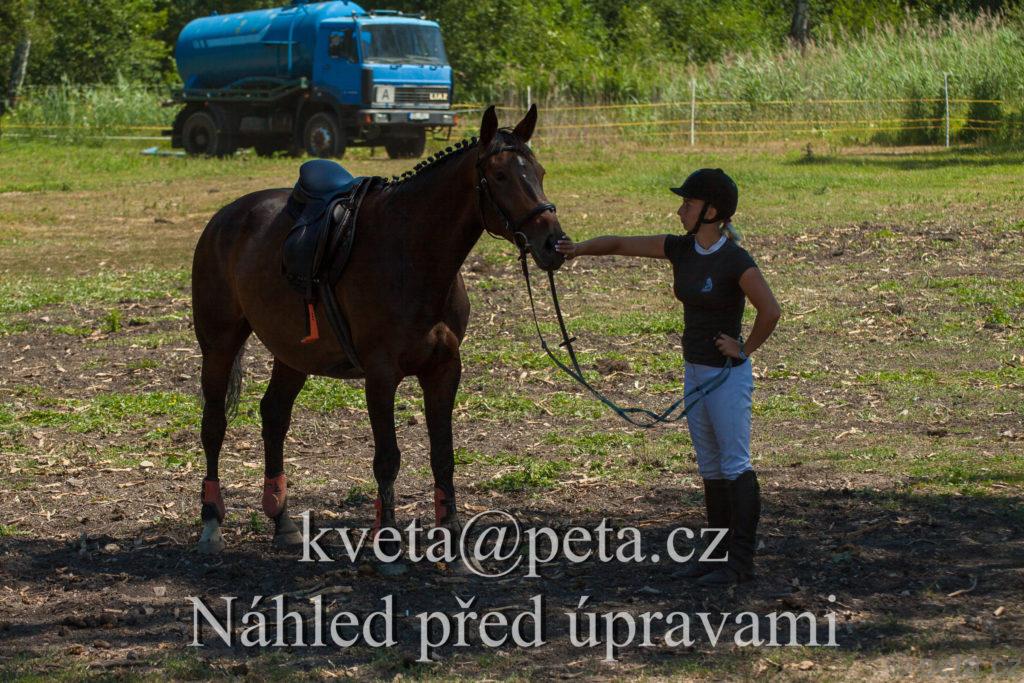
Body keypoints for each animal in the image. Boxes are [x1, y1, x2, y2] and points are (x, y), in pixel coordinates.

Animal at [190, 105, 565, 555]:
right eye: (501, 175)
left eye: (540, 171)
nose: (554, 243)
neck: (412, 252)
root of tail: (226, 216)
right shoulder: (381, 375)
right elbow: (387, 459)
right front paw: (389, 545)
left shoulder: (444, 369)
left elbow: (444, 455)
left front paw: (452, 537)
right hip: (219, 344)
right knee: (214, 424)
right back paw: (212, 523)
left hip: (292, 353)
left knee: (274, 416)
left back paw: (282, 520)